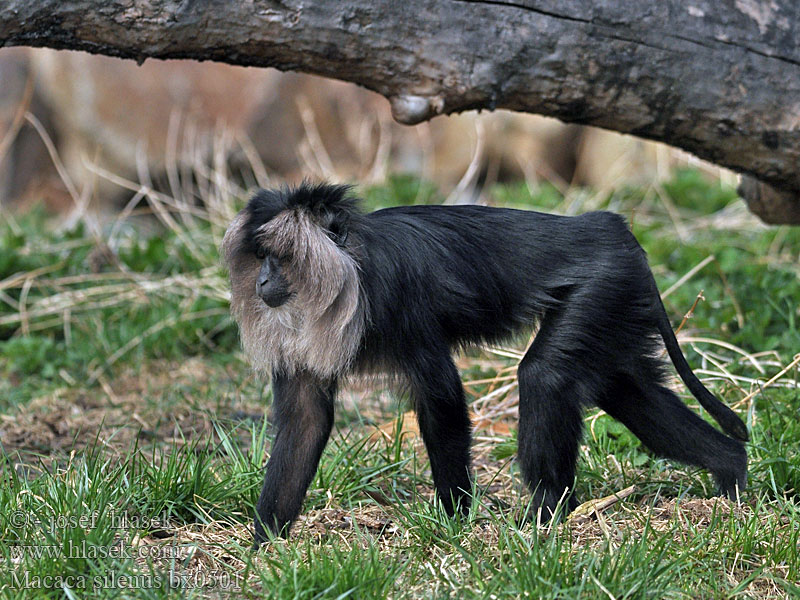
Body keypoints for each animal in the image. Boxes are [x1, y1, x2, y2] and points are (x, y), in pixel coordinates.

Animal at [220, 182, 752, 544]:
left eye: (282, 258)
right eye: (260, 256)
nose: (262, 281)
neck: (349, 268)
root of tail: (610, 227)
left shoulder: (398, 302)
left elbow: (442, 402)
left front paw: (456, 520)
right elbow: (306, 420)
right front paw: (265, 545)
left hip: (603, 286)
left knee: (545, 377)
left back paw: (545, 516)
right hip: (616, 306)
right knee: (626, 390)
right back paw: (730, 476)